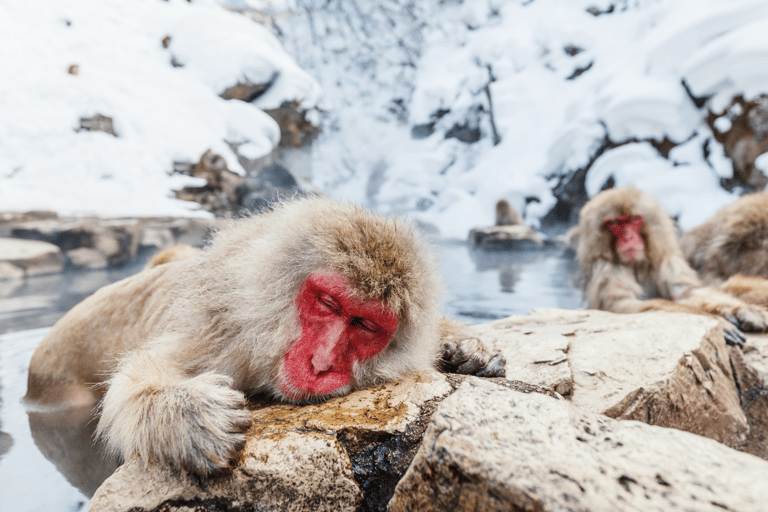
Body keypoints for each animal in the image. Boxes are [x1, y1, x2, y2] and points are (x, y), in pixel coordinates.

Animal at [25, 197, 504, 476]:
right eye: (328, 304)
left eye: (365, 325)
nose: (321, 363)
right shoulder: (220, 334)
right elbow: (137, 380)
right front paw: (186, 414)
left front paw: (468, 348)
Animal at [568, 186, 768, 346]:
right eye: (615, 223)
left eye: (633, 219)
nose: (628, 238)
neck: (636, 264)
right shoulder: (606, 268)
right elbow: (623, 304)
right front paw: (716, 320)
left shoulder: (667, 259)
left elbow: (687, 291)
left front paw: (742, 310)